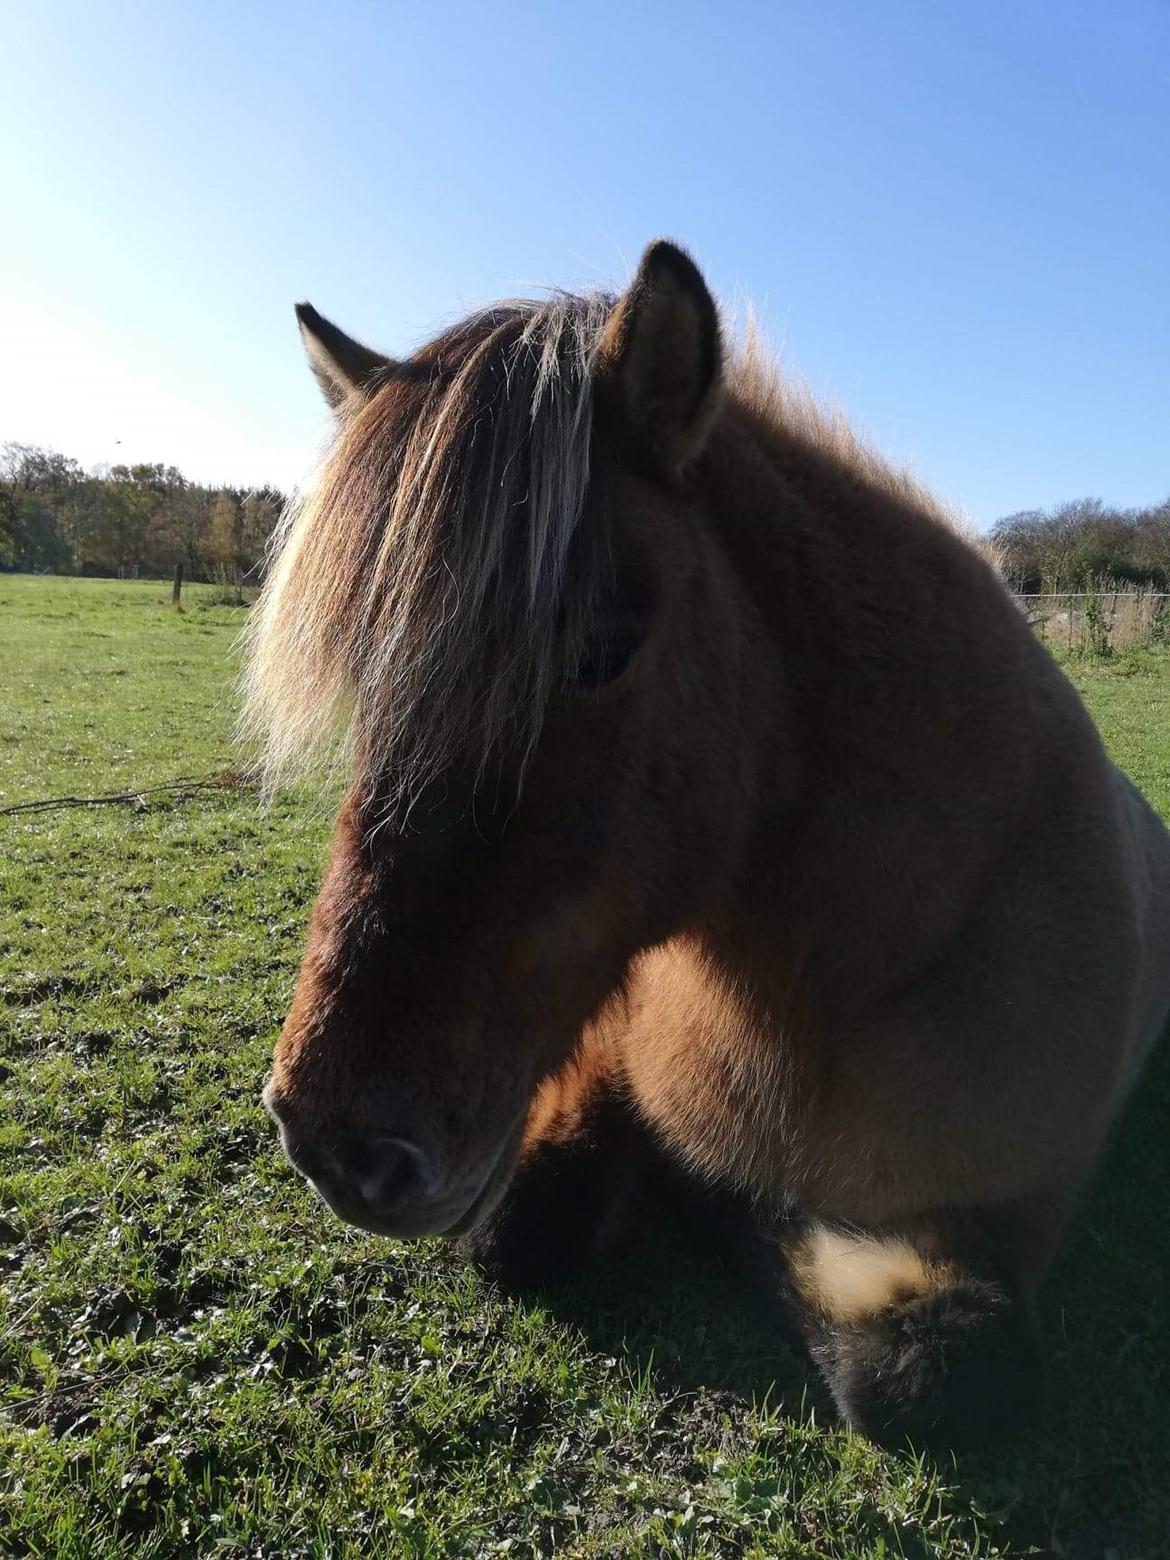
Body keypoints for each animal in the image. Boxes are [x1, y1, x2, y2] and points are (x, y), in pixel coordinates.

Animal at [244, 243, 1170, 1447]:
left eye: (601, 652)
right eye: (367, 670)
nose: (333, 1143)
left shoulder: (1012, 1209)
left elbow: (930, 1369)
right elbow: (523, 1222)